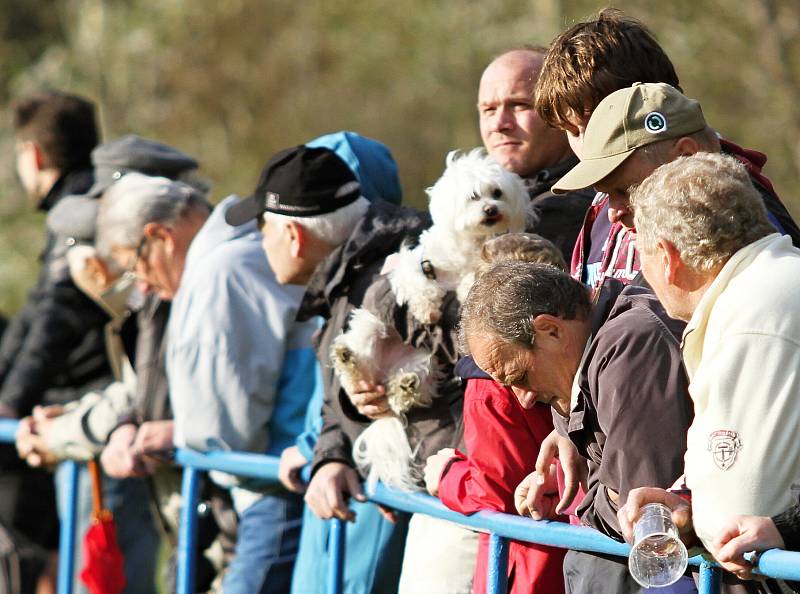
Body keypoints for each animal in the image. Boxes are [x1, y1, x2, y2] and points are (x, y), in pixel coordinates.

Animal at [332, 149, 532, 490]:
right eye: (474, 196)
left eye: (497, 193)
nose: (491, 209)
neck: (465, 250)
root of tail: (386, 368)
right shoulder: (413, 265)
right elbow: (419, 282)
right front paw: (427, 306)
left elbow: (471, 282)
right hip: (371, 328)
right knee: (358, 363)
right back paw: (349, 358)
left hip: (423, 361)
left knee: (408, 387)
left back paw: (405, 387)